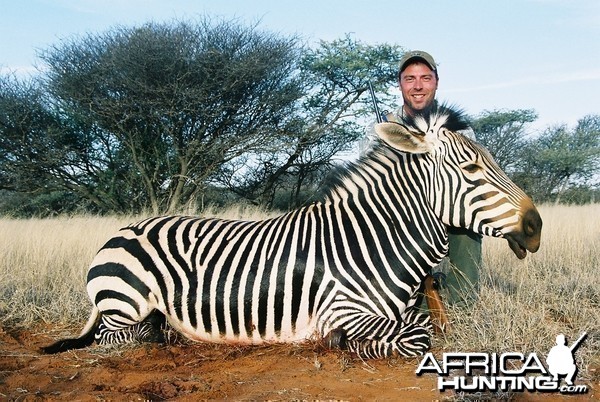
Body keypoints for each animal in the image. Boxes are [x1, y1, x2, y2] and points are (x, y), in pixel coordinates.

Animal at [41, 104, 544, 358]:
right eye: (471, 168)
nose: (536, 226)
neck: (375, 240)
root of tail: (121, 230)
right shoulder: (344, 309)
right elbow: (418, 334)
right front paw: (347, 344)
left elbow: (424, 323)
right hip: (126, 304)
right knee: (119, 336)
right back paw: (167, 336)